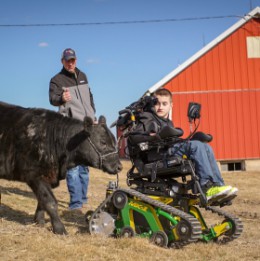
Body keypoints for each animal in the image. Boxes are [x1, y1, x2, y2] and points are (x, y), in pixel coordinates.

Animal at [0, 101, 122, 234]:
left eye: (114, 142)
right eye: (103, 142)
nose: (119, 166)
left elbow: (42, 201)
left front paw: (39, 221)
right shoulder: (34, 175)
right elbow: (50, 201)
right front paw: (59, 229)